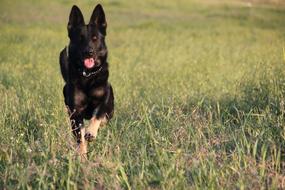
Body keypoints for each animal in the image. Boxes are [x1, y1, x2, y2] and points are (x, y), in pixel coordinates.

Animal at [58, 4, 113, 156]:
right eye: (80, 38)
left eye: (94, 38)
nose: (89, 52)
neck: (88, 76)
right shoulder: (75, 112)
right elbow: (80, 137)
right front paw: (82, 155)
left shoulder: (105, 99)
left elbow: (98, 115)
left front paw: (91, 132)